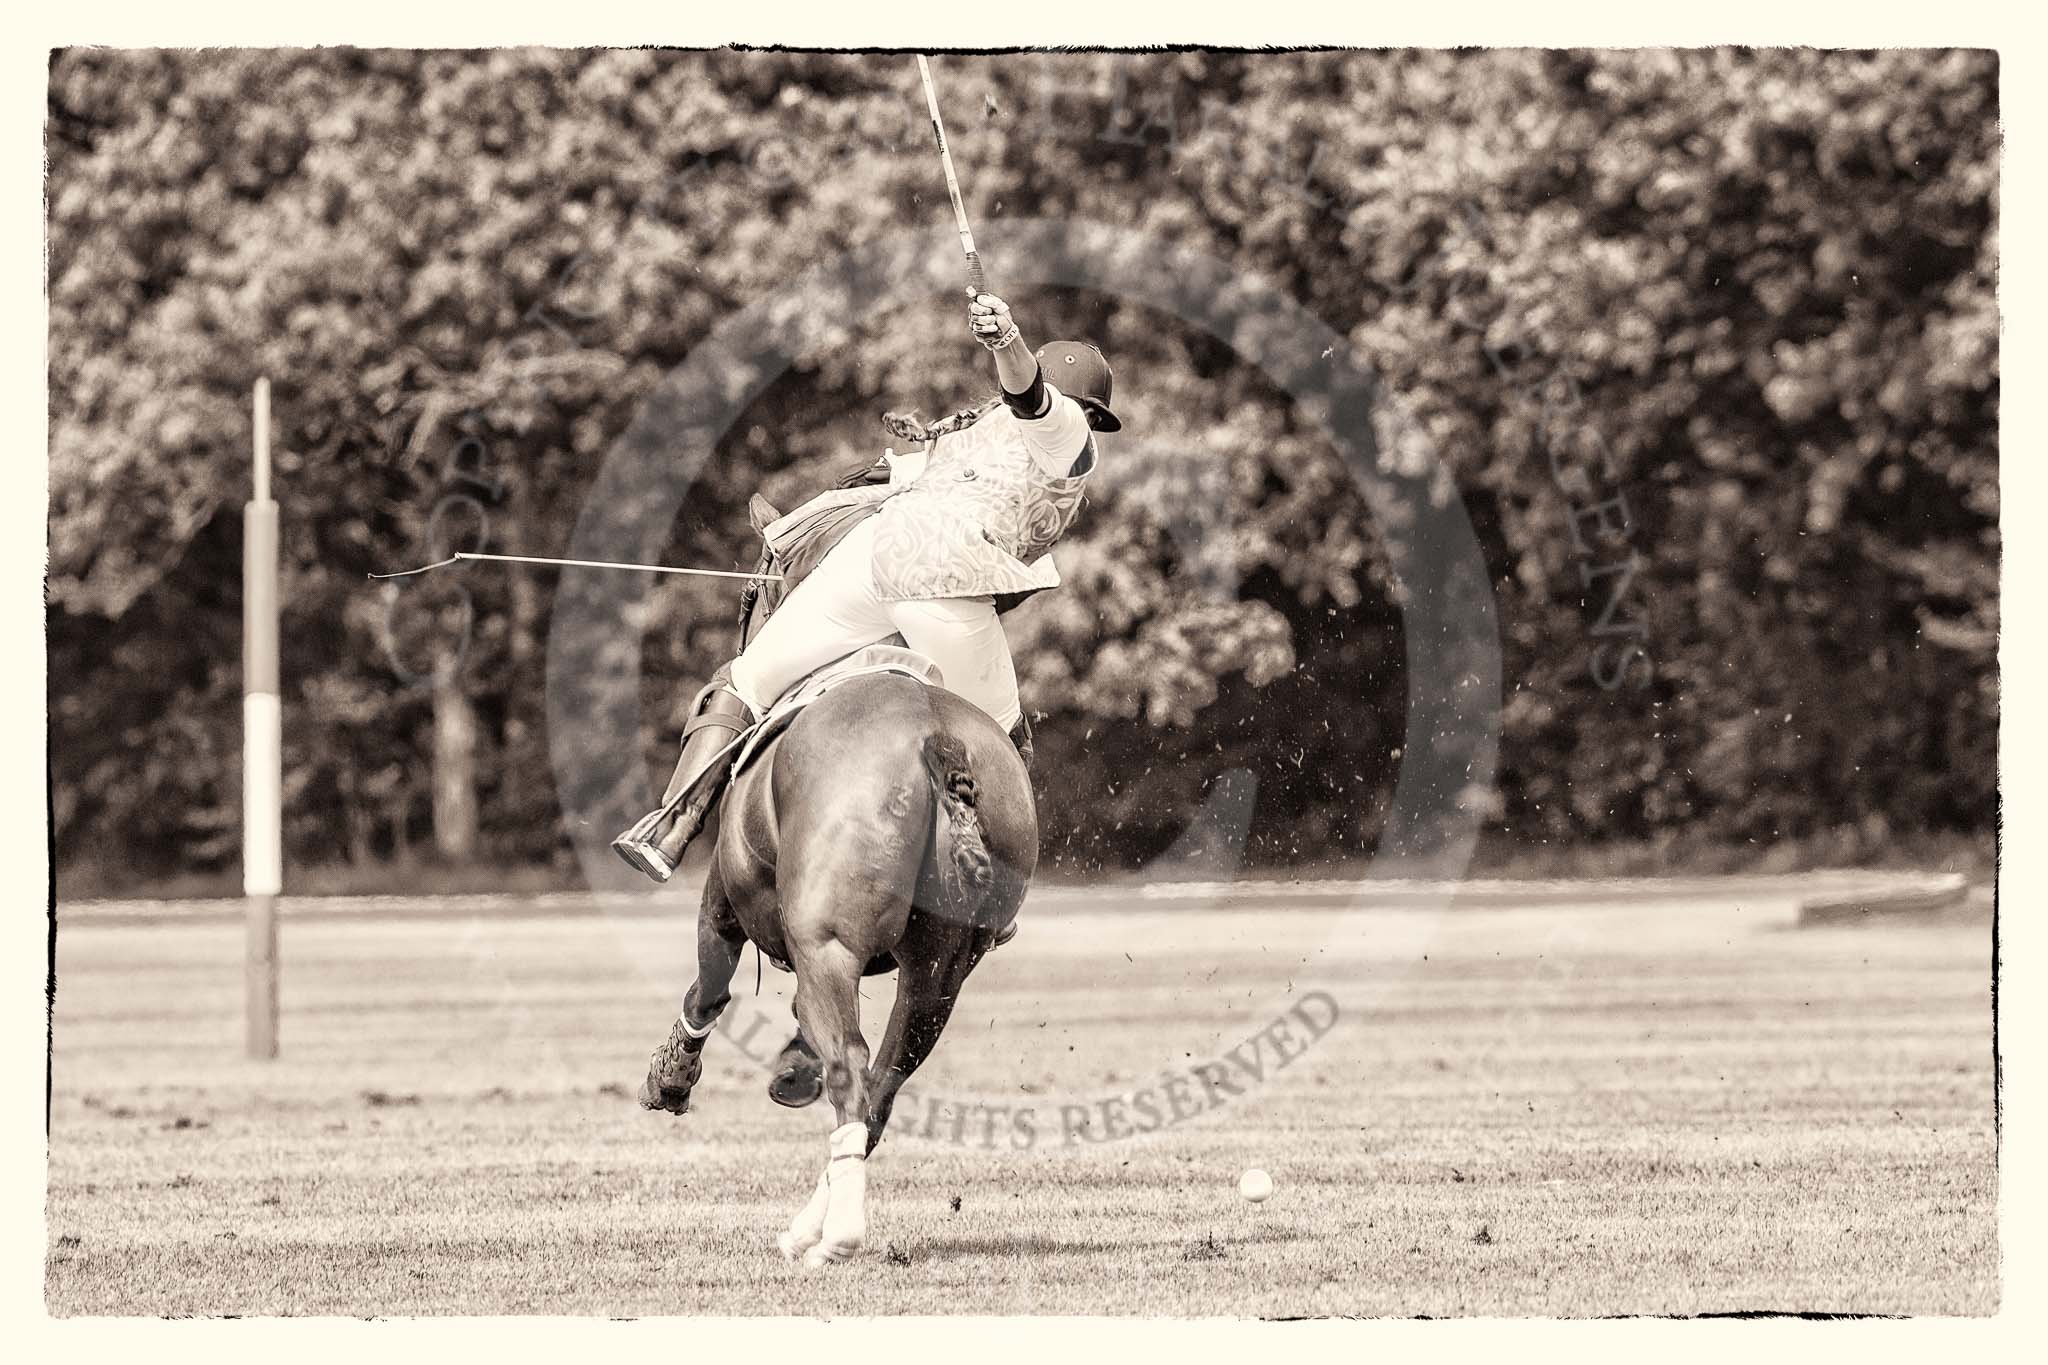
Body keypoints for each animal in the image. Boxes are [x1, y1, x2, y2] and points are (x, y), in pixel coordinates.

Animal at [630, 675, 1032, 1268]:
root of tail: (939, 739)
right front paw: (794, 1068)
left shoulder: (726, 900)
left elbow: (708, 988)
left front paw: (671, 1076)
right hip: (939, 972)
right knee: (881, 1088)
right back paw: (809, 1225)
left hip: (829, 945)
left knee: (851, 1066)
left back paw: (834, 1237)